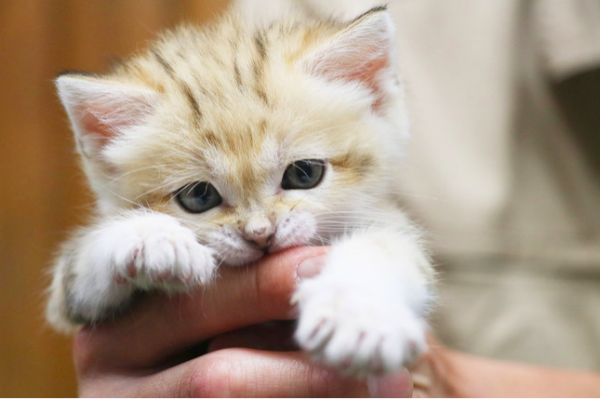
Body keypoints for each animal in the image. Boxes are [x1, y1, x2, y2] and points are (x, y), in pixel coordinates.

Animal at [44, 6, 434, 376]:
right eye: (199, 197)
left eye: (304, 174)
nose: (261, 234)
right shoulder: (68, 302)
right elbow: (81, 257)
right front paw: (152, 238)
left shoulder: (388, 221)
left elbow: (385, 248)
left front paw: (359, 315)